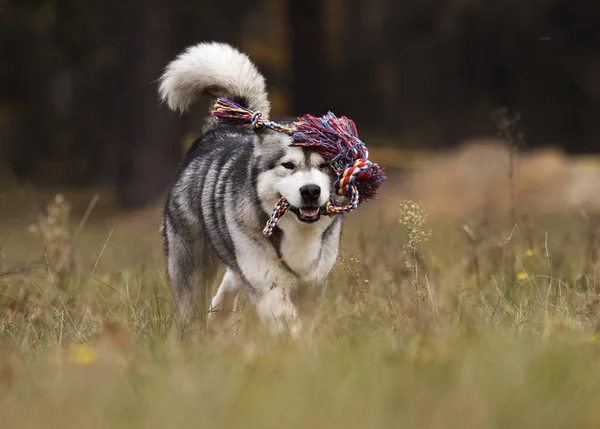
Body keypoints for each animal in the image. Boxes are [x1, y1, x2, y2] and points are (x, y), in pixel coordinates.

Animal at [159, 41, 342, 334]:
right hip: (191, 261)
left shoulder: (313, 283)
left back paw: (219, 315)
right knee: (193, 300)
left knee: (231, 279)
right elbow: (286, 322)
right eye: (288, 165)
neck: (296, 233)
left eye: (324, 166)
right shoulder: (267, 285)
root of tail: (219, 132)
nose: (311, 191)